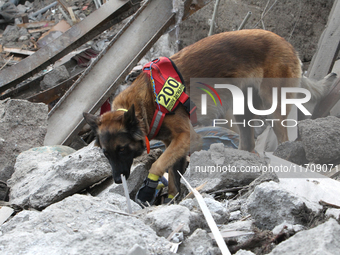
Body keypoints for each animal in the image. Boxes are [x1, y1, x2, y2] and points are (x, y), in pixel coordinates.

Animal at [82, 28, 326, 204]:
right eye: (105, 154)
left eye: (122, 149)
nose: (116, 180)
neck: (146, 103)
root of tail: (287, 44)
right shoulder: (174, 142)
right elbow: (172, 172)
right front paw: (171, 198)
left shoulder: (187, 138)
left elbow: (158, 165)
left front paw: (149, 188)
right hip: (242, 111)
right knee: (248, 143)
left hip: (272, 107)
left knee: (282, 137)